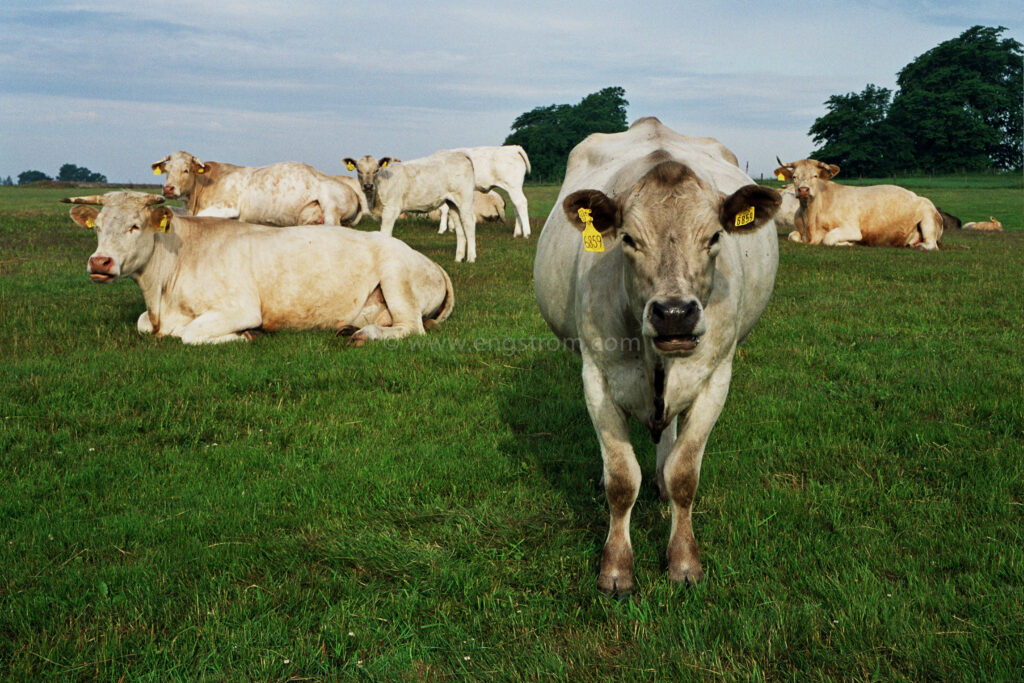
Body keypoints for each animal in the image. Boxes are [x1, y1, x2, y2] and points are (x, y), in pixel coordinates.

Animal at [532, 118, 778, 598]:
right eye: (628, 238)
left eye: (715, 236)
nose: (675, 314)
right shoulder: (597, 377)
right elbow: (622, 479)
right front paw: (615, 568)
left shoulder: (716, 376)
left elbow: (685, 474)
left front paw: (683, 560)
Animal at [774, 156, 942, 248]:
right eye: (794, 177)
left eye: (815, 176)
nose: (803, 190)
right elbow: (792, 236)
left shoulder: (852, 229)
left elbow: (828, 238)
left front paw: (849, 243)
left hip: (928, 218)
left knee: (931, 245)